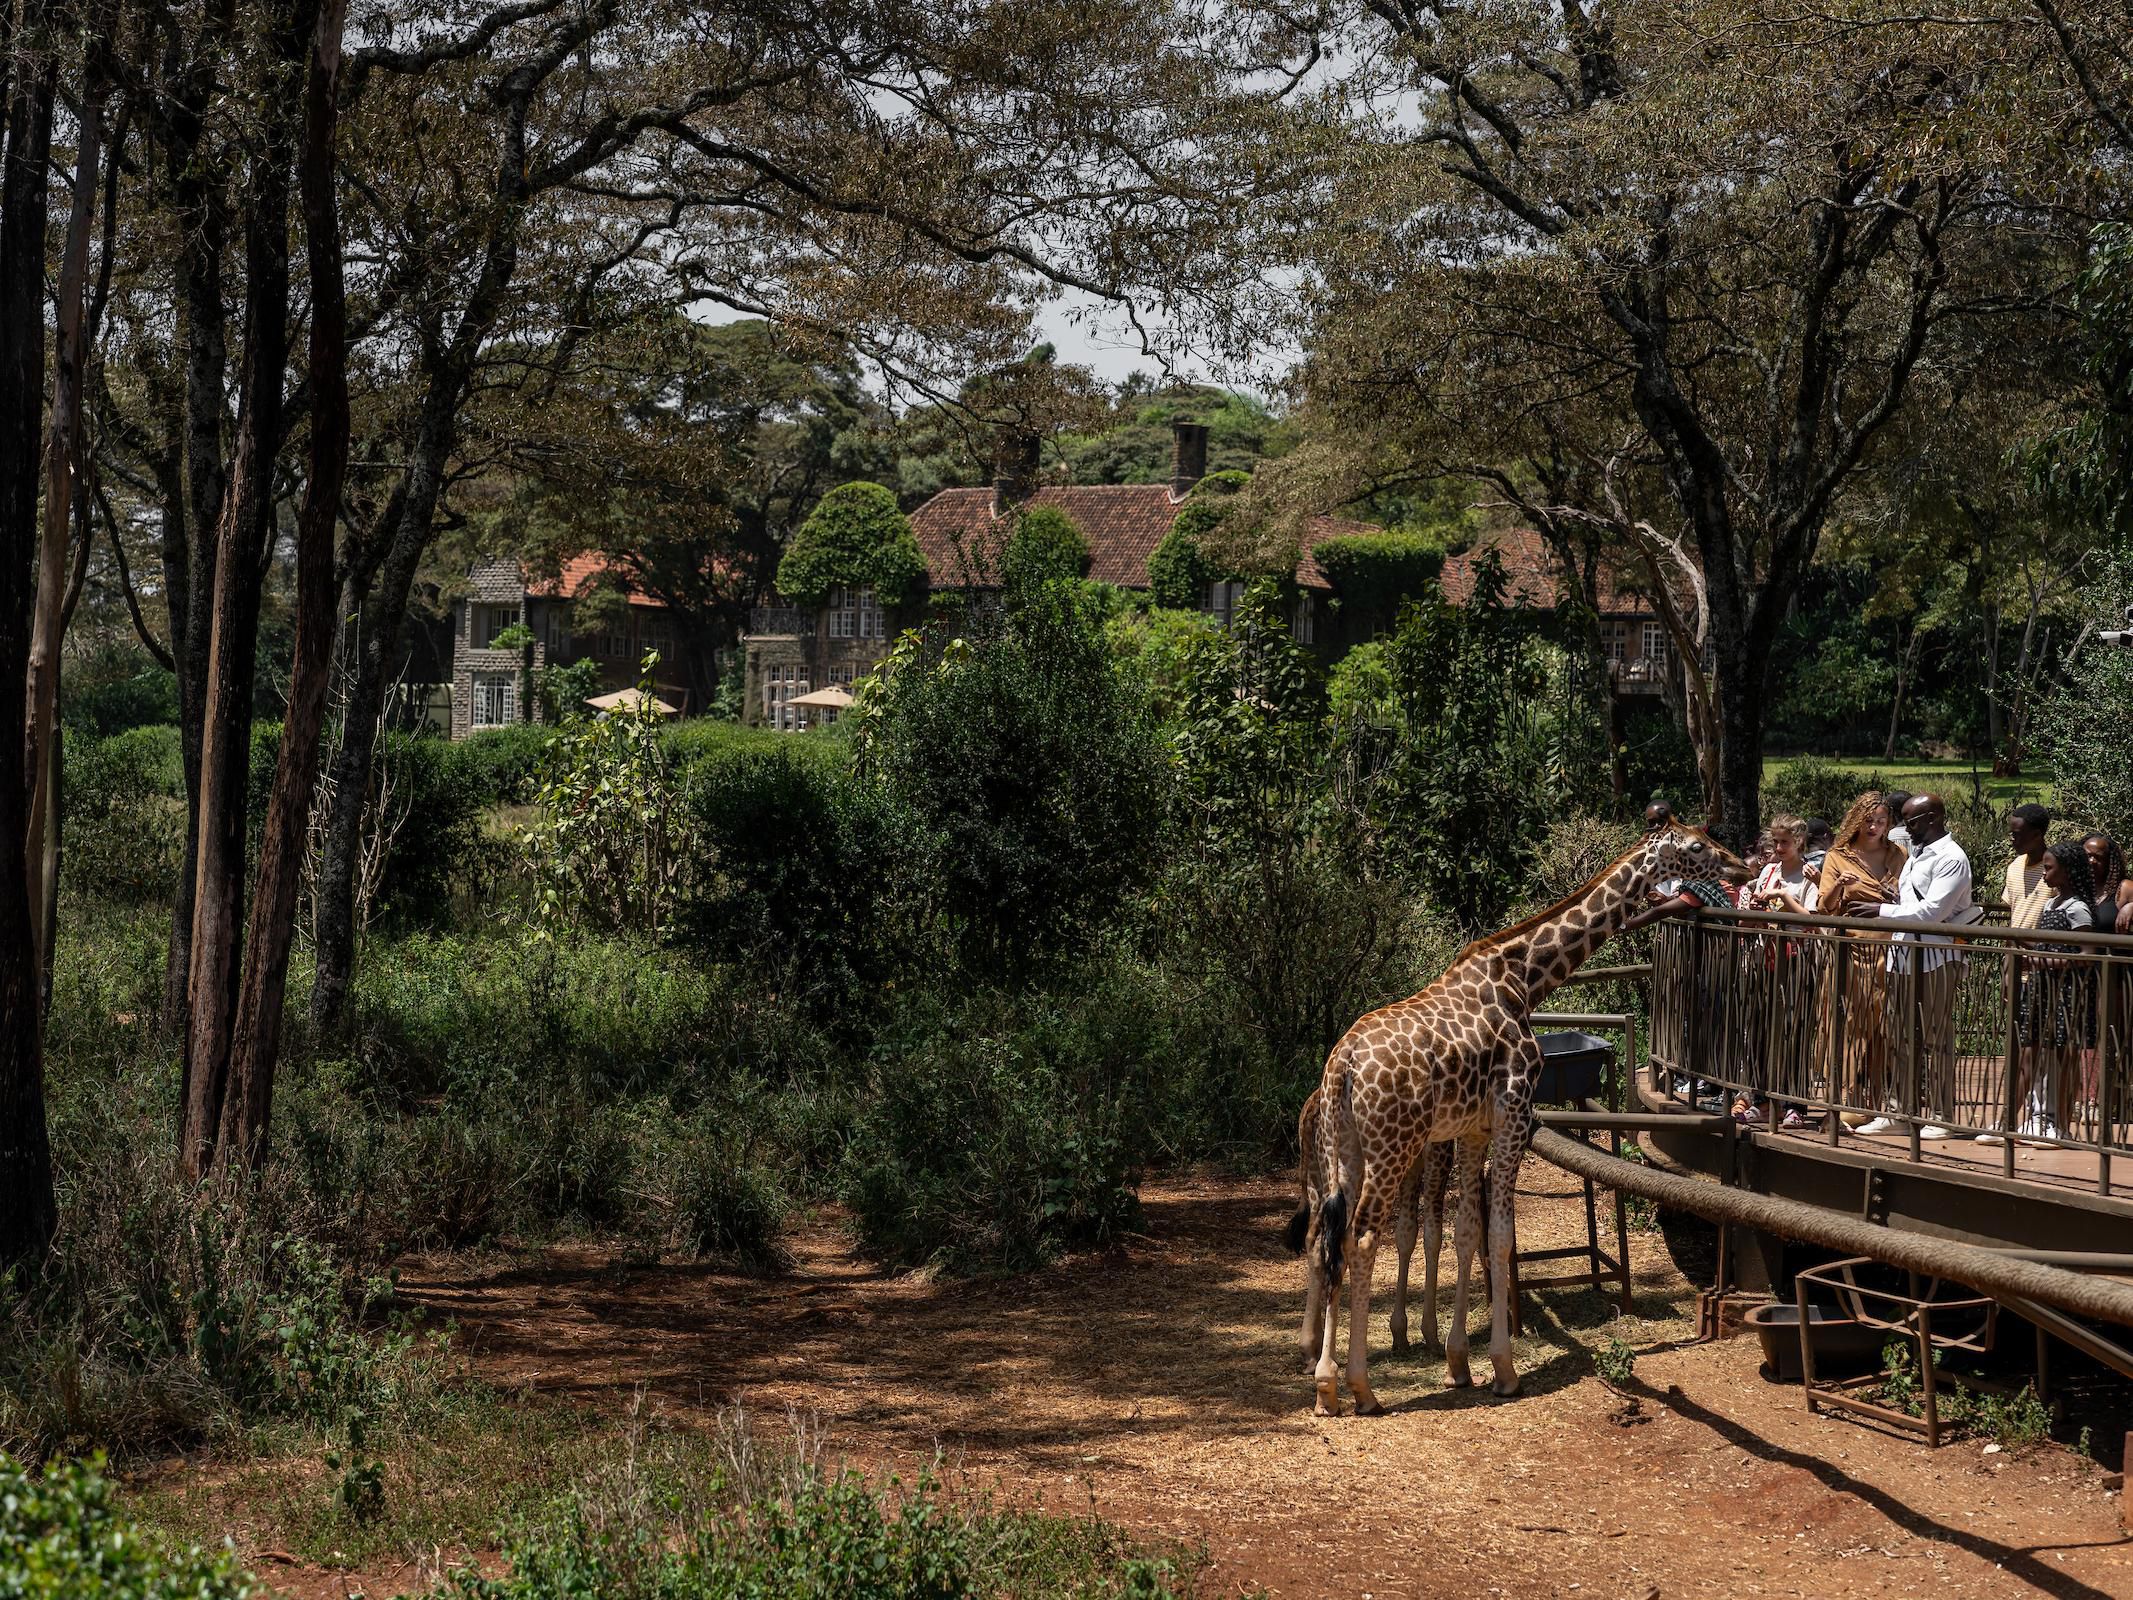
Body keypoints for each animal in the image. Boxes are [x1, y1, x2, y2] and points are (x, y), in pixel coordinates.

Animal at [1288, 1091, 1450, 1370]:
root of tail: (1310, 1111)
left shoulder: (1413, 1163)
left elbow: (1406, 1234)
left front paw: (1400, 1334)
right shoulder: (1436, 1154)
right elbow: (1432, 1235)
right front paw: (1431, 1334)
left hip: (1316, 1179)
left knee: (1315, 1241)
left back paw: (1311, 1348)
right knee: (1339, 1243)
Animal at [1305, 822, 1746, 1415]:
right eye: (1697, 847)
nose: (1742, 866)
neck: (1525, 977)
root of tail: (1344, 1066)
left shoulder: (1473, 1128)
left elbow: (1467, 1232)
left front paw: (1459, 1362)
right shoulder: (1515, 1113)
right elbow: (1500, 1237)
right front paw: (1504, 1369)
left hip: (1344, 1150)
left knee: (1328, 1237)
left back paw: (1326, 1385)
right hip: (1392, 1147)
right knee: (1361, 1237)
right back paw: (1362, 1387)